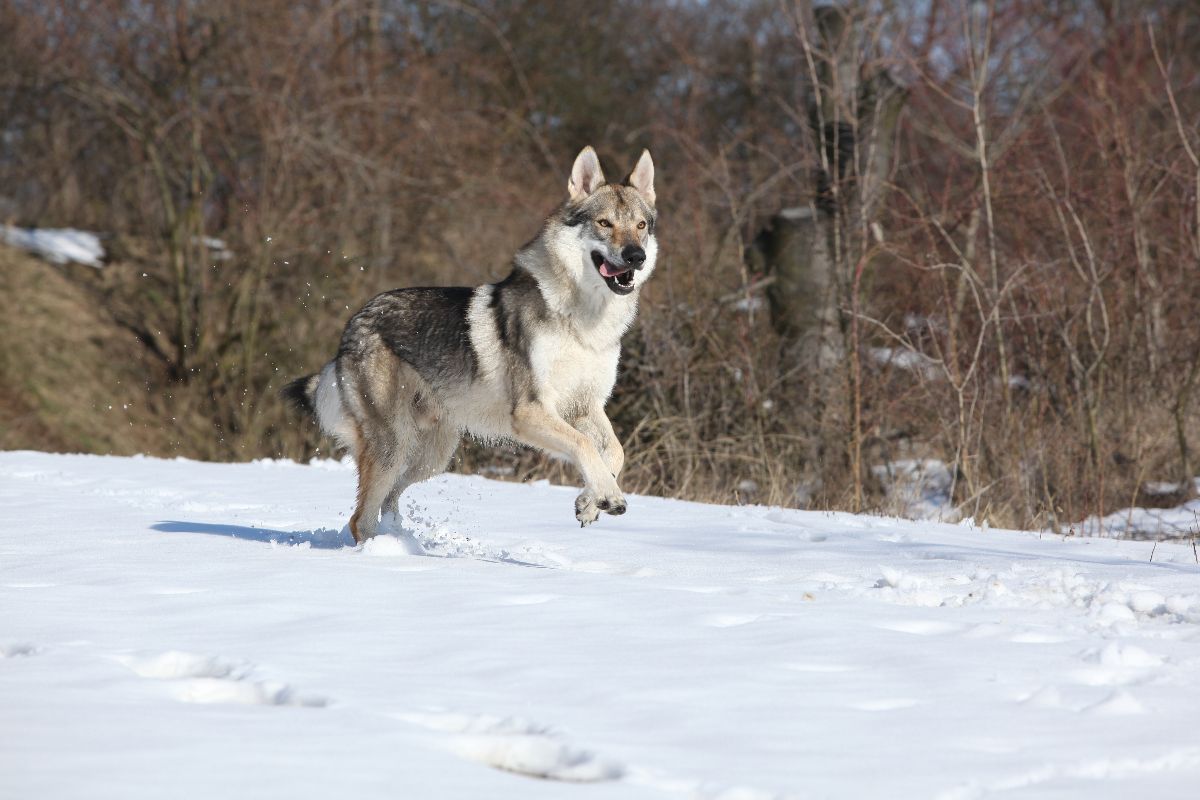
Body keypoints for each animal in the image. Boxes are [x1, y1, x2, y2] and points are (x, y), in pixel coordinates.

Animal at [283, 146, 658, 542]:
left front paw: (591, 501)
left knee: (387, 501)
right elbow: (585, 446)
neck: (585, 322)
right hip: (394, 447)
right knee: (360, 518)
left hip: (432, 457)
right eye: (604, 223)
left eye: (641, 226)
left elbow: (614, 452)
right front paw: (609, 497)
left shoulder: (585, 406)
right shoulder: (531, 412)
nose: (635, 256)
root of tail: (352, 327)